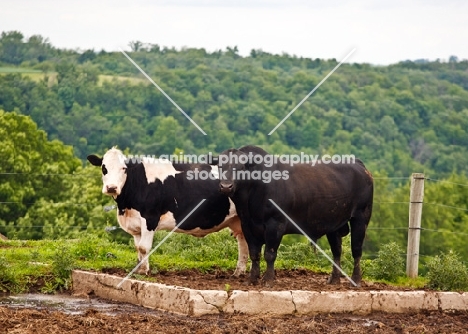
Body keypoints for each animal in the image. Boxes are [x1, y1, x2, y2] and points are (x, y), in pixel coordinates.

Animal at [88, 147, 249, 276]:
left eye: (124, 169)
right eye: (104, 168)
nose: (111, 187)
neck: (125, 207)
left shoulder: (150, 218)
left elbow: (144, 247)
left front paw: (144, 271)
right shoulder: (135, 224)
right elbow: (138, 248)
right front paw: (138, 269)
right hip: (237, 220)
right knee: (243, 243)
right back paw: (238, 272)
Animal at [215, 146, 372, 288]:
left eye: (240, 167)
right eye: (221, 166)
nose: (226, 186)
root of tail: (357, 163)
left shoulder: (275, 225)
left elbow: (269, 254)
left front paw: (268, 280)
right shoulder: (248, 226)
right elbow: (254, 254)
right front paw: (252, 279)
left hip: (360, 218)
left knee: (356, 250)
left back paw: (355, 281)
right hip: (334, 224)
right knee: (337, 251)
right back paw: (333, 280)